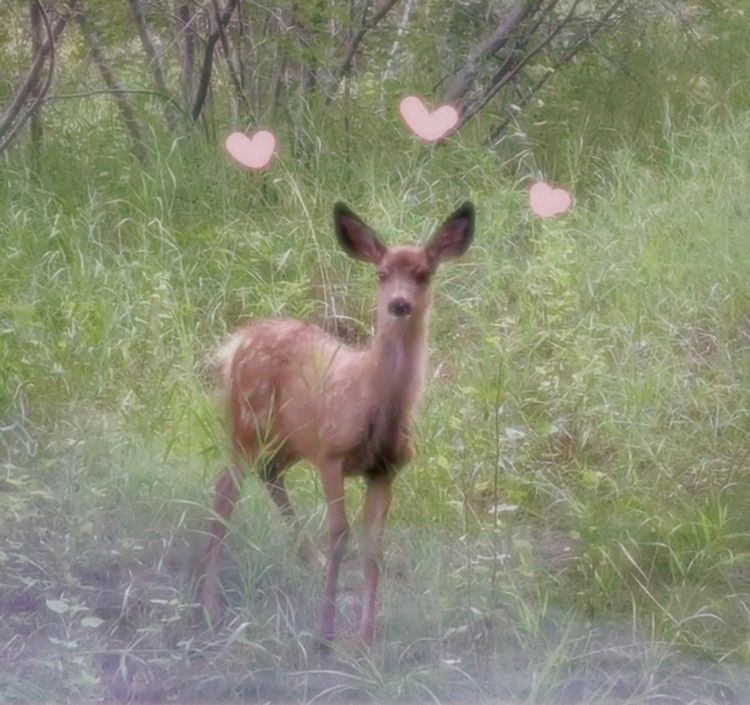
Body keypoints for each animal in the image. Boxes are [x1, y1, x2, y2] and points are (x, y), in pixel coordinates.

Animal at [199, 200, 475, 646]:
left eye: (423, 273)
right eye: (382, 274)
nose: (399, 305)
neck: (375, 406)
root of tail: (237, 341)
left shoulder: (385, 469)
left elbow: (372, 546)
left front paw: (365, 638)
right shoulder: (331, 453)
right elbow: (340, 534)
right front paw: (324, 634)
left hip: (289, 439)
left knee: (268, 472)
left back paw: (305, 558)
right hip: (246, 422)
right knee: (225, 490)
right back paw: (210, 607)